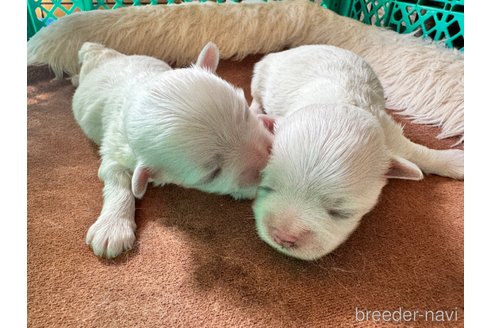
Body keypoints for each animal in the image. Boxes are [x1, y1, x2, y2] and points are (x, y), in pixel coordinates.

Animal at [73, 41, 272, 258]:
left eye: (244, 114)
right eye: (212, 173)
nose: (271, 157)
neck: (136, 90)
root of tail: (106, 55)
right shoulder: (114, 149)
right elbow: (117, 178)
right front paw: (112, 227)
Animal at [252, 45, 464, 262]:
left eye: (341, 212)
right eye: (267, 186)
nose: (283, 237)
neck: (336, 102)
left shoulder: (388, 131)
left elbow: (415, 151)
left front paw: (456, 162)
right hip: (260, 74)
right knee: (257, 97)